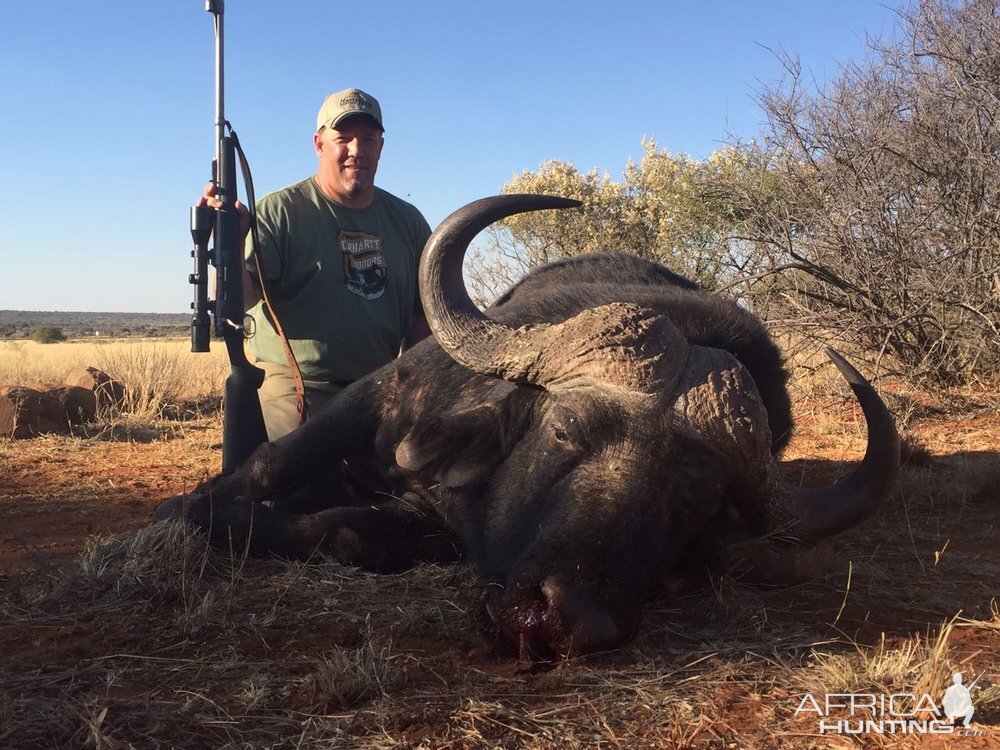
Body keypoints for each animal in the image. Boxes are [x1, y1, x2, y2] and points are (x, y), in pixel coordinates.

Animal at [154, 195, 900, 664]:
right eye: (566, 429)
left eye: (695, 503)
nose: (569, 618)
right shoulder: (381, 393)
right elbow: (272, 463)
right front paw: (195, 506)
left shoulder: (435, 528)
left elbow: (343, 535)